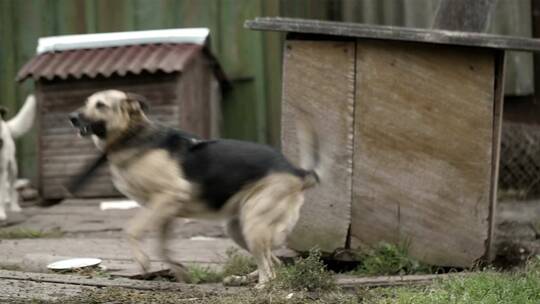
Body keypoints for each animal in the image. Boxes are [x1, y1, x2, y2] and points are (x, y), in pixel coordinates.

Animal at [67, 89, 320, 286]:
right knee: (274, 262)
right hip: (237, 228)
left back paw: (261, 286)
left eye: (101, 105)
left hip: (254, 224)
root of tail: (297, 171)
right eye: (86, 102)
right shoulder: (164, 210)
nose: (71, 117)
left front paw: (142, 260)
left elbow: (132, 230)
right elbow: (162, 247)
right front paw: (179, 270)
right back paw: (242, 279)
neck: (131, 136)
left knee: (270, 268)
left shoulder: (168, 196)